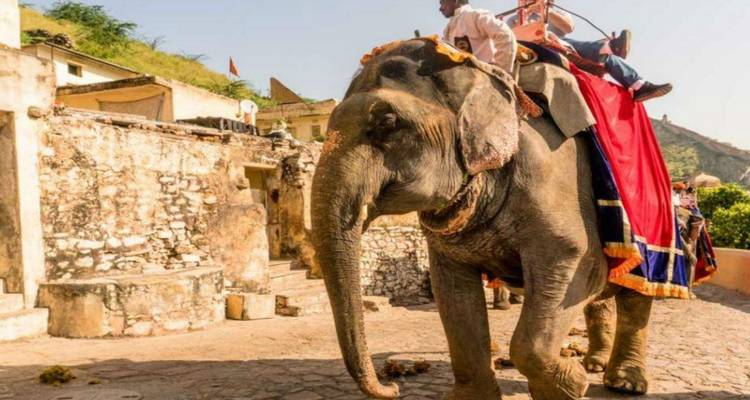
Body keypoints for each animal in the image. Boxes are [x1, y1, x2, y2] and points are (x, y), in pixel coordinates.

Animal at [311, 38, 654, 400]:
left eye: (387, 122)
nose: (392, 385)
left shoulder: (557, 184)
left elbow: (580, 266)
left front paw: (572, 385)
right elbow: (454, 296)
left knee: (635, 299)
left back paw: (624, 382)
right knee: (603, 299)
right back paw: (595, 364)